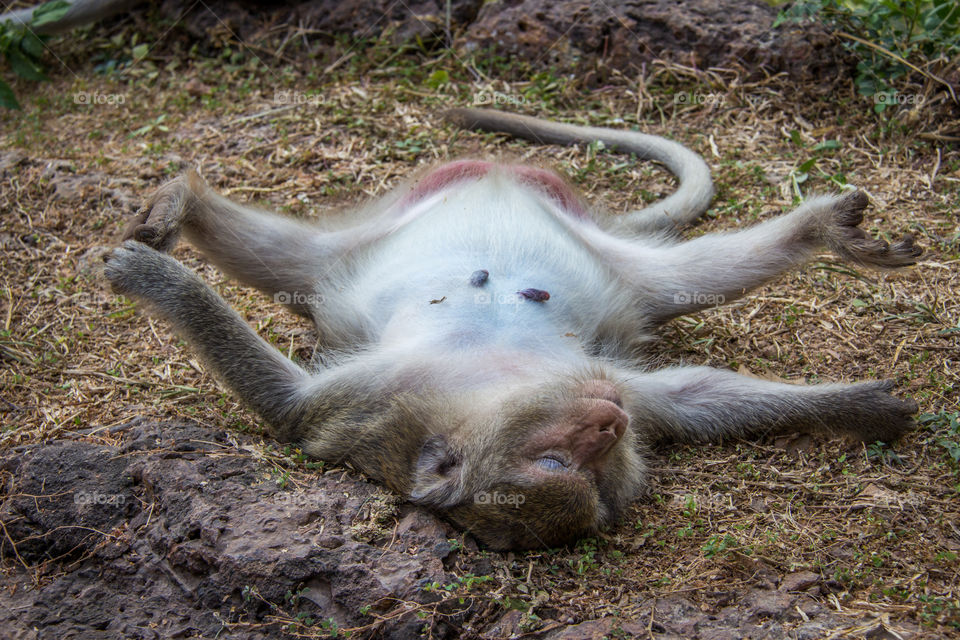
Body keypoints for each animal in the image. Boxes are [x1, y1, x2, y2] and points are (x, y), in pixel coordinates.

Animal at [103, 107, 922, 550]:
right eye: (562, 469)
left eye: (595, 465)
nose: (608, 424)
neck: (486, 385)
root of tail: (502, 174)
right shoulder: (371, 402)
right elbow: (287, 403)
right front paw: (161, 284)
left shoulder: (598, 380)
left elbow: (691, 395)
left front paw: (855, 406)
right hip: (343, 260)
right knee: (281, 260)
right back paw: (184, 207)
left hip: (621, 270)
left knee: (697, 273)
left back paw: (824, 229)